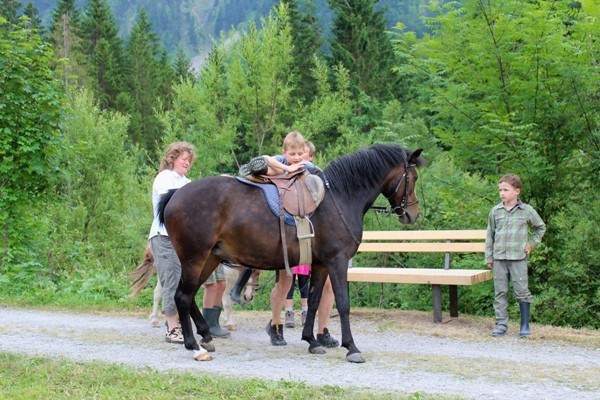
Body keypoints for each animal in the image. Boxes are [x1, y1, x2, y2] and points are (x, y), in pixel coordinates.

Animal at [157, 144, 424, 362]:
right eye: (413, 177)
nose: (413, 214)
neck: (340, 197)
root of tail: (175, 194)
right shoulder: (337, 261)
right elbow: (344, 304)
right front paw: (352, 348)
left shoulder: (320, 265)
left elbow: (314, 302)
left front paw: (312, 341)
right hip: (195, 258)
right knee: (182, 296)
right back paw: (194, 346)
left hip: (210, 258)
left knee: (189, 295)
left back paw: (205, 335)